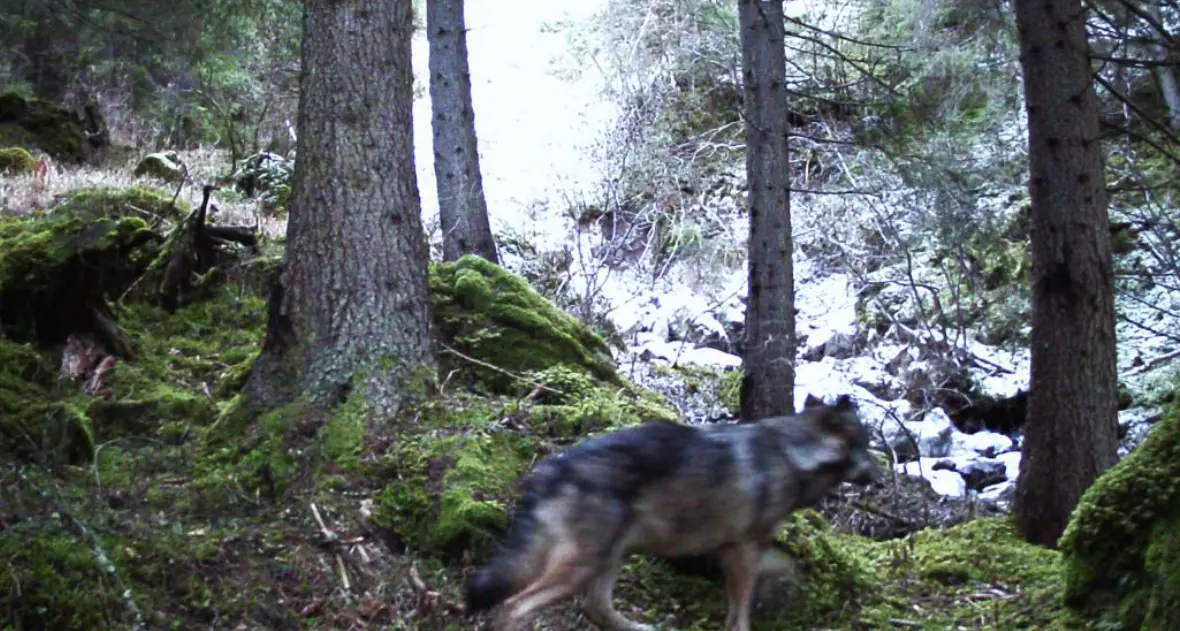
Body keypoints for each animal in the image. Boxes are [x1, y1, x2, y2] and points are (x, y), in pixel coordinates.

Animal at [463, 395, 881, 631]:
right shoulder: (744, 550)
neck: (792, 454)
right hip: (583, 565)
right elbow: (742, 614)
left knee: (596, 608)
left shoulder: (734, 551)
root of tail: (554, 468)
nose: (879, 476)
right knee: (513, 609)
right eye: (867, 445)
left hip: (611, 556)